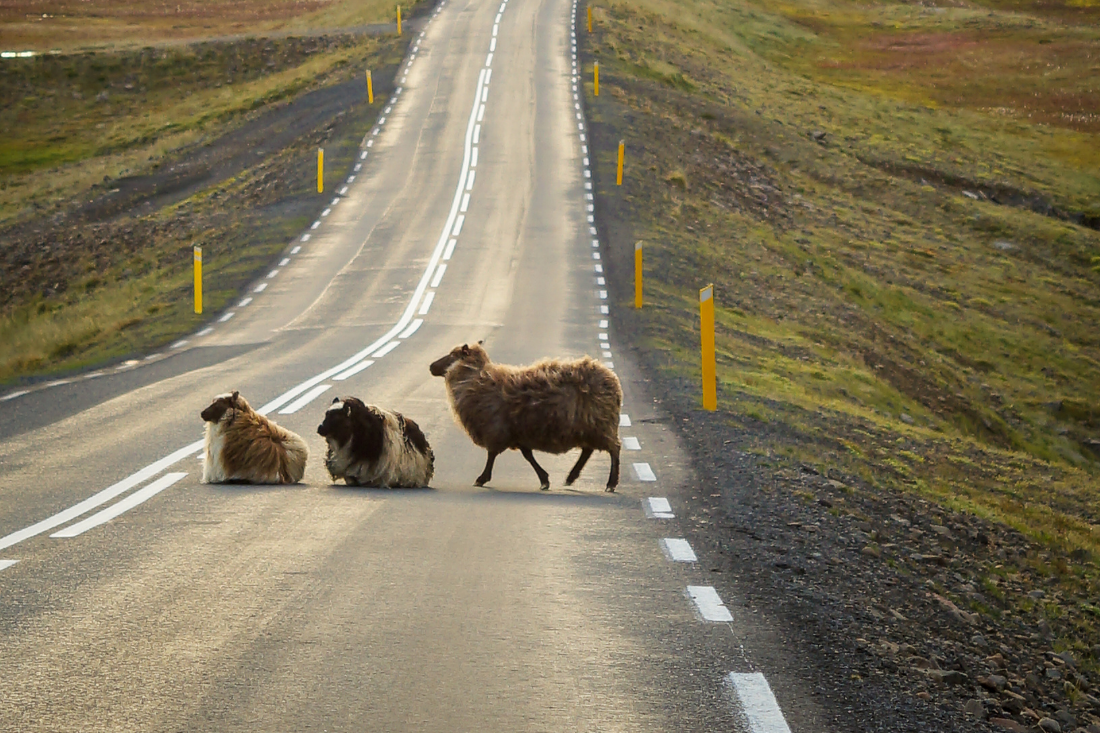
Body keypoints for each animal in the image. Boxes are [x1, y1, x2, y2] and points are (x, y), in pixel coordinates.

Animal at [426, 343, 624, 490]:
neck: (475, 379)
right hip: (589, 426)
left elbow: (492, 454)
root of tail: (613, 379)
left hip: (601, 423)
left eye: (452, 355)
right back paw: (571, 477)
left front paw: (482, 478)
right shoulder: (516, 431)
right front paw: (544, 480)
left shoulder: (497, 428)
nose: (431, 367)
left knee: (614, 449)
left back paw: (611, 483)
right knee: (588, 450)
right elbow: (527, 455)